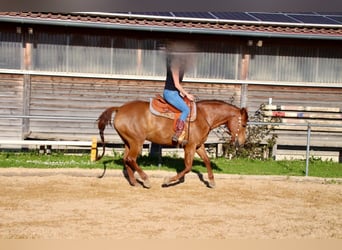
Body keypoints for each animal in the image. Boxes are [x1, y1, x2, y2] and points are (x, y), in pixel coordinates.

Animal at [97, 99, 247, 188]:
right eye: (244, 124)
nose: (242, 143)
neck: (204, 116)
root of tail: (120, 108)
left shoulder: (199, 146)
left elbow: (207, 160)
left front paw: (211, 181)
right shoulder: (190, 147)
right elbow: (188, 167)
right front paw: (168, 180)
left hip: (128, 142)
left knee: (126, 159)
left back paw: (134, 182)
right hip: (136, 141)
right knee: (131, 159)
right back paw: (146, 180)